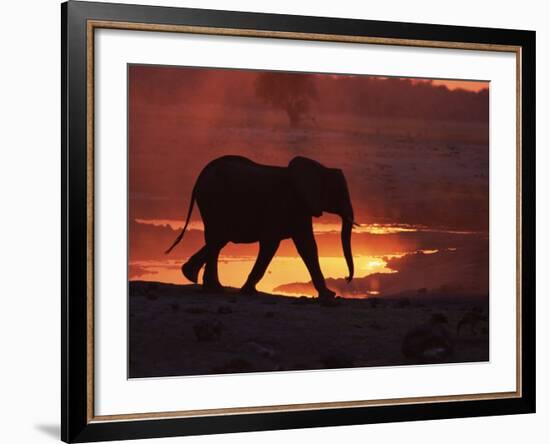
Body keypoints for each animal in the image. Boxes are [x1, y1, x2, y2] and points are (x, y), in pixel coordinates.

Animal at [165, 154, 358, 300]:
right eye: (339, 193)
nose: (347, 279)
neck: (319, 168)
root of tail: (201, 176)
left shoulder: (301, 208)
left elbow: (307, 246)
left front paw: (329, 295)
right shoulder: (285, 205)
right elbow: (271, 245)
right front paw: (248, 291)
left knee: (218, 239)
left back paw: (195, 277)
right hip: (213, 200)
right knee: (217, 238)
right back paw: (211, 287)